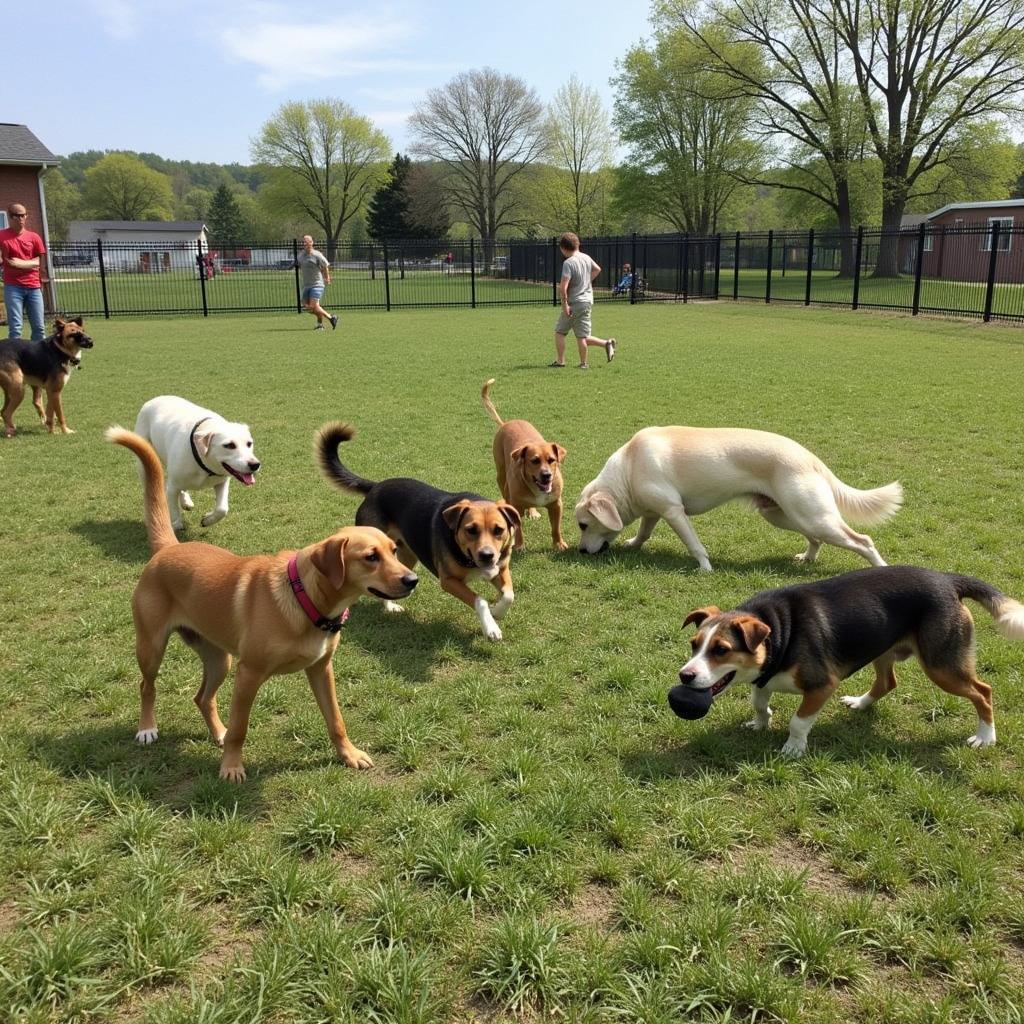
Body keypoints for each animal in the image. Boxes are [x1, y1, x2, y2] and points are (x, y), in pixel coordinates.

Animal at [105, 428, 417, 778]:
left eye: (394, 550)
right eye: (370, 557)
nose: (412, 580)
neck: (303, 598)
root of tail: (169, 547)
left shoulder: (321, 669)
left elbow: (335, 718)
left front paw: (348, 754)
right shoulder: (248, 674)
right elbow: (241, 728)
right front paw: (231, 768)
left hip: (218, 658)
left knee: (202, 698)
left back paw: (218, 732)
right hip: (152, 646)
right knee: (147, 686)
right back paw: (148, 728)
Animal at [134, 395, 262, 532]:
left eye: (249, 443)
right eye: (229, 445)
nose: (255, 464)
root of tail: (155, 398)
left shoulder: (222, 482)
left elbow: (222, 509)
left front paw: (207, 520)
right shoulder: (172, 487)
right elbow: (173, 510)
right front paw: (176, 525)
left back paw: (186, 502)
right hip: (145, 461)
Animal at [313, 419, 520, 634]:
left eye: (499, 530)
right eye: (470, 530)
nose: (487, 555)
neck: (467, 556)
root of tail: (375, 487)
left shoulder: (501, 568)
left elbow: (509, 595)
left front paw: (497, 612)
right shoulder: (448, 581)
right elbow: (480, 600)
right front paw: (491, 627)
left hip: (405, 556)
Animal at [577, 423, 905, 569]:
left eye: (583, 525)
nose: (579, 551)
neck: (629, 467)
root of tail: (811, 457)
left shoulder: (674, 511)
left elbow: (695, 546)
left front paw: (705, 569)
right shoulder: (654, 512)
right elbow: (644, 532)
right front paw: (633, 543)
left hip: (812, 516)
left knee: (863, 541)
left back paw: (882, 571)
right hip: (784, 515)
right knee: (816, 539)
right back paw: (807, 558)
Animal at [671, 565, 1024, 757]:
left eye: (721, 650)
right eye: (694, 645)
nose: (685, 676)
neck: (780, 632)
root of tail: (948, 580)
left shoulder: (821, 685)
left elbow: (799, 721)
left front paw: (794, 748)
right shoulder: (764, 678)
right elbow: (759, 703)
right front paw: (760, 723)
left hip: (942, 666)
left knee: (983, 691)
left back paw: (985, 737)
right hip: (883, 649)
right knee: (887, 682)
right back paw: (861, 703)